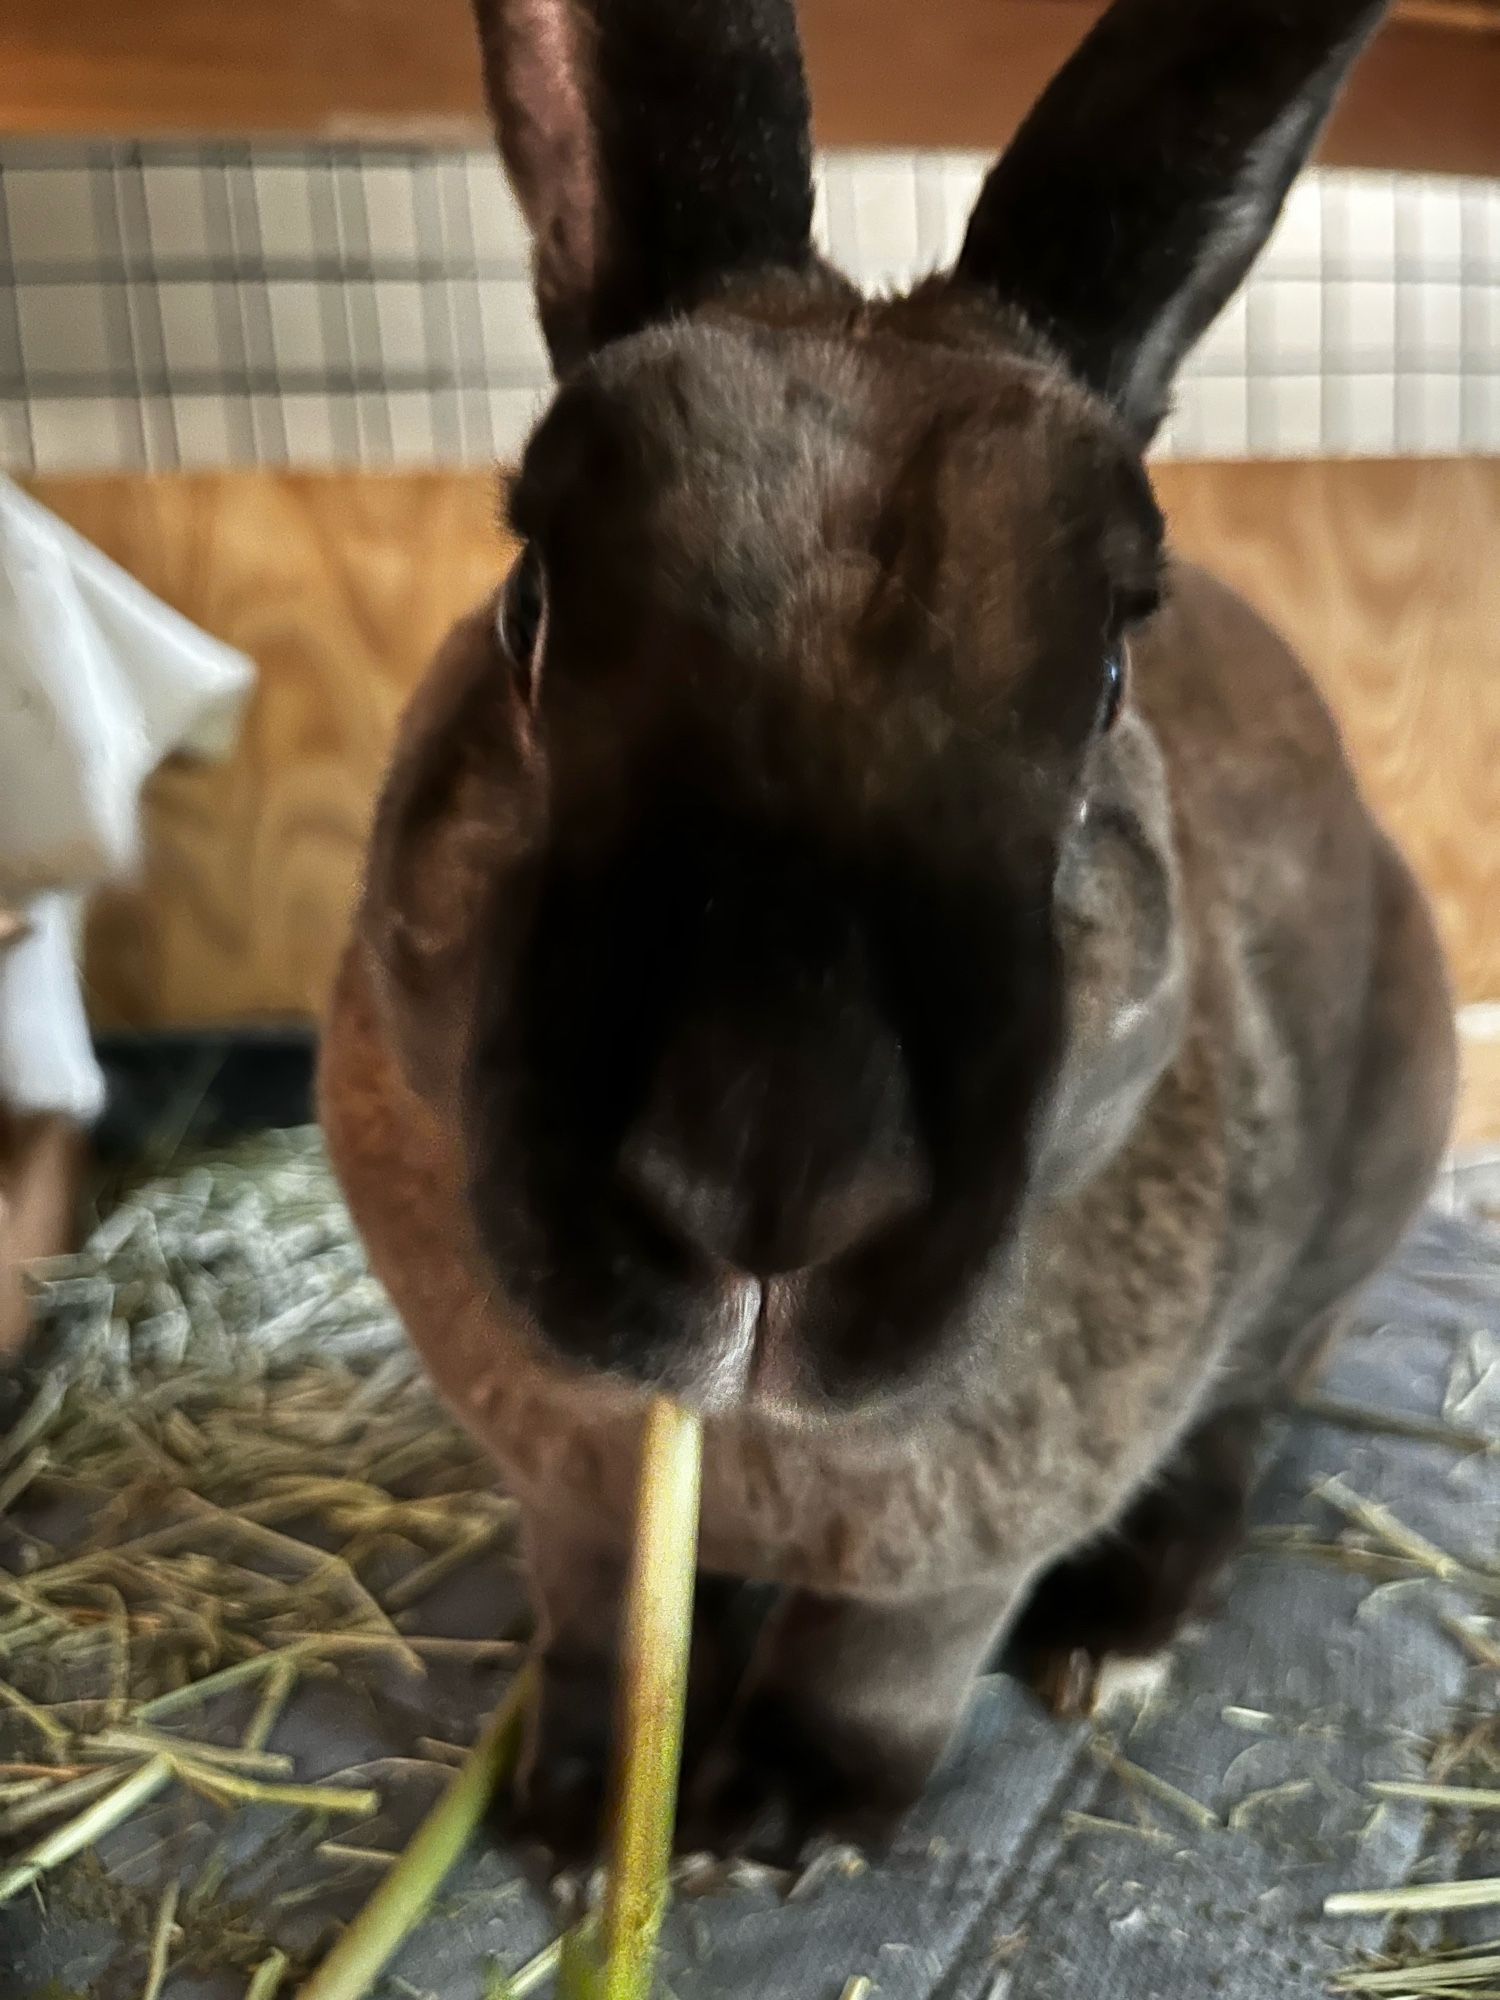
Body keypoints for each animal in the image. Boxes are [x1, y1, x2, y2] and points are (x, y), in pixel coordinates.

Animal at [318, 0, 1456, 1856]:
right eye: (530, 609)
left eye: (1109, 678)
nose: (770, 1181)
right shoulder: (576, 1505)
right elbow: (601, 1610)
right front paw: (582, 1805)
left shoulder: (961, 1559)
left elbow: (887, 1656)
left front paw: (778, 1820)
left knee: (1240, 1431)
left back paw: (1110, 1638)